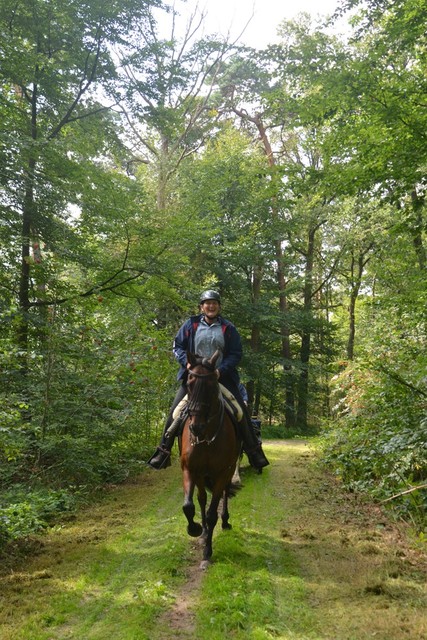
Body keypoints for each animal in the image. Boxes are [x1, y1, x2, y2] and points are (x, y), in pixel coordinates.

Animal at [179, 350, 242, 564]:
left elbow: (212, 512)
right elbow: (189, 505)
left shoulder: (223, 472)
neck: (206, 437)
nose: (195, 427)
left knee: (224, 492)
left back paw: (225, 521)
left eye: (212, 385)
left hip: (228, 470)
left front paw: (208, 551)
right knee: (201, 498)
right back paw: (205, 530)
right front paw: (196, 529)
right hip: (201, 475)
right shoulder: (190, 469)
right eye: (189, 383)